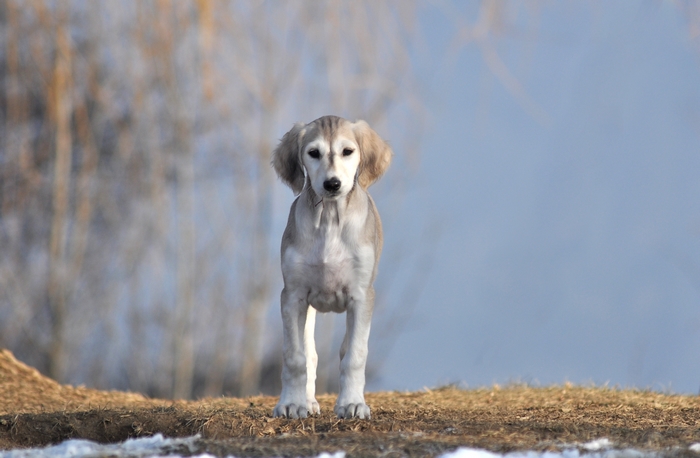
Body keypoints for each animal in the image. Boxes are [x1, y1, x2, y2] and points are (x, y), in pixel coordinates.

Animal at [272, 115, 392, 418]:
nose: (332, 184)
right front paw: (291, 403)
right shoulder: (293, 296)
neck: (329, 220)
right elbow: (295, 356)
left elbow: (354, 356)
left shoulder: (361, 297)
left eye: (347, 151)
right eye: (313, 153)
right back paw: (307, 401)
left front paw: (351, 403)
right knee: (310, 354)